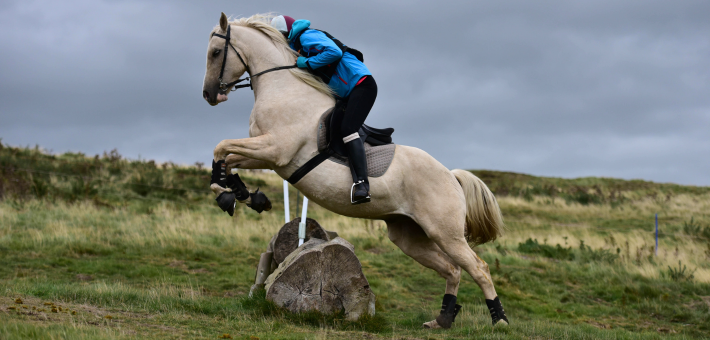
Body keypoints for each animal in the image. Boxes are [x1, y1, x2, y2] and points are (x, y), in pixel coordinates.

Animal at [203, 13, 508, 330]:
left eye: (215, 52)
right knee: (452, 270)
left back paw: (499, 319)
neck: (284, 87)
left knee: (479, 268)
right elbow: (225, 158)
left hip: (446, 233)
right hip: (409, 236)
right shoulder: (269, 156)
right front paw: (242, 196)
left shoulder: (275, 150)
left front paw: (230, 195)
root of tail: (451, 176)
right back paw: (443, 319)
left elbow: (221, 148)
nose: (209, 94)